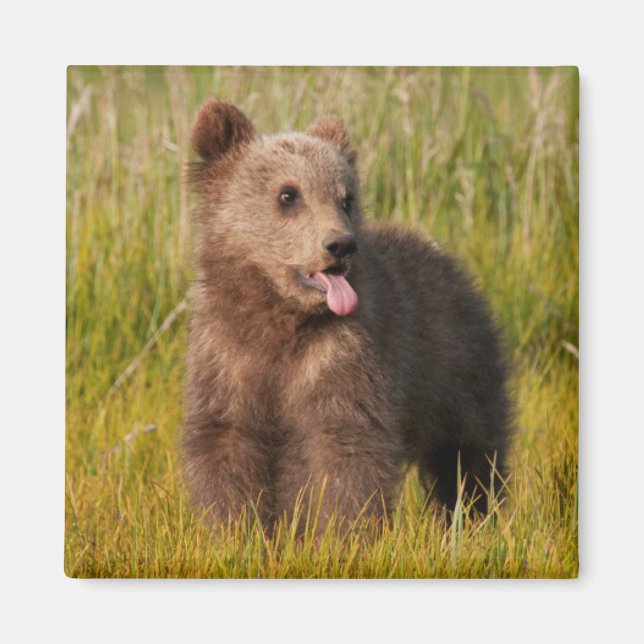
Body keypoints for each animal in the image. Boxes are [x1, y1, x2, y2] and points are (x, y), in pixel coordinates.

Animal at [182, 99, 511, 533]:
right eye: (288, 194)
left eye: (346, 197)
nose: (340, 244)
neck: (280, 317)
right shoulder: (228, 356)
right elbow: (226, 443)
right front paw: (235, 530)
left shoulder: (341, 356)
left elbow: (345, 450)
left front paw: (342, 534)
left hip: (456, 371)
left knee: (467, 454)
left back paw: (475, 517)